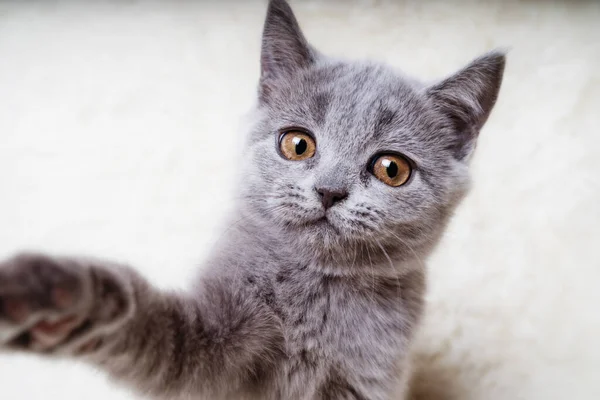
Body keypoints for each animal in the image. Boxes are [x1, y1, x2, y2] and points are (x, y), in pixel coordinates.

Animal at [0, 0, 504, 400]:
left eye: (391, 169)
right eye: (298, 145)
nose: (330, 190)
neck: (315, 292)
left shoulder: (369, 379)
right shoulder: (207, 347)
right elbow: (155, 329)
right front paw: (61, 297)